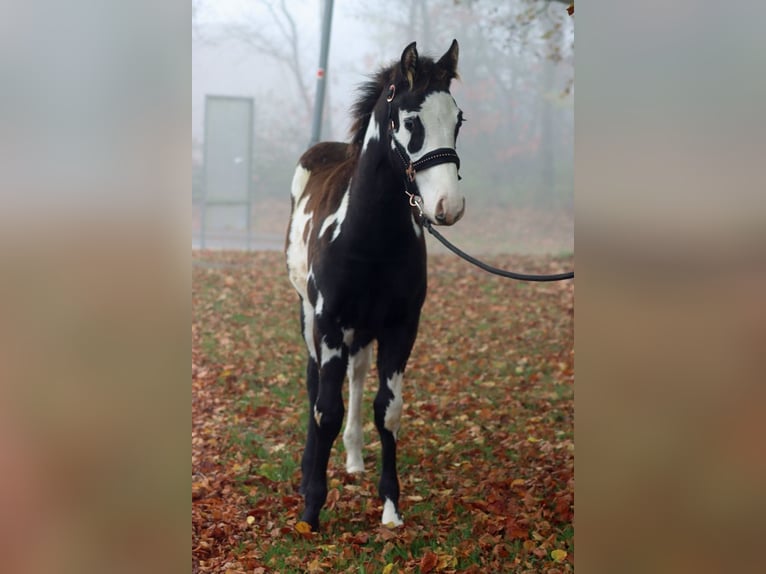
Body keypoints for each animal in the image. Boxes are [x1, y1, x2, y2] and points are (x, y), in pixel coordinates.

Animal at [286, 41, 464, 536]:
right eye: (411, 122)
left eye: (458, 119)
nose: (448, 206)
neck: (368, 237)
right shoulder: (328, 324)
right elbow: (324, 410)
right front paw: (312, 506)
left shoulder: (401, 328)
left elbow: (388, 409)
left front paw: (390, 506)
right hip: (309, 317)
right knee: (315, 384)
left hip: (362, 331)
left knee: (358, 375)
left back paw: (353, 459)